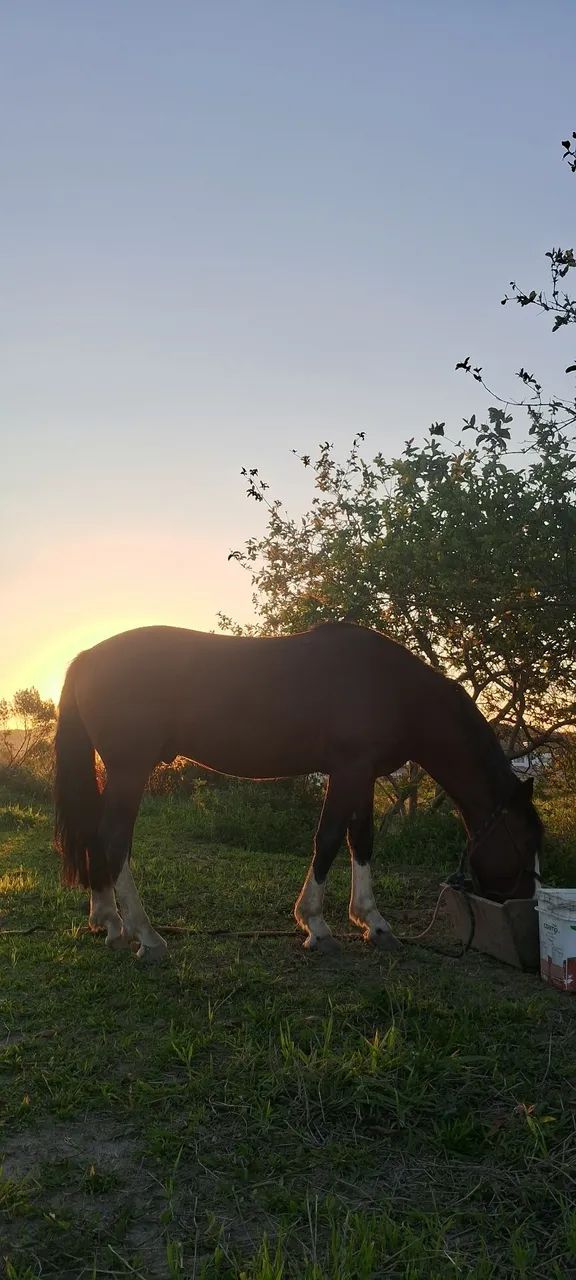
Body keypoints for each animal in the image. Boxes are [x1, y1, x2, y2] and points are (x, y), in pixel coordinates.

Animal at [54, 621, 543, 961]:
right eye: (526, 841)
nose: (526, 904)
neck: (392, 687)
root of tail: (86, 657)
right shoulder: (348, 771)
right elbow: (327, 840)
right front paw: (316, 926)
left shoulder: (361, 775)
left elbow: (361, 841)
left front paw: (373, 922)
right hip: (129, 771)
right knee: (114, 840)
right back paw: (146, 936)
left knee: (97, 836)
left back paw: (109, 923)